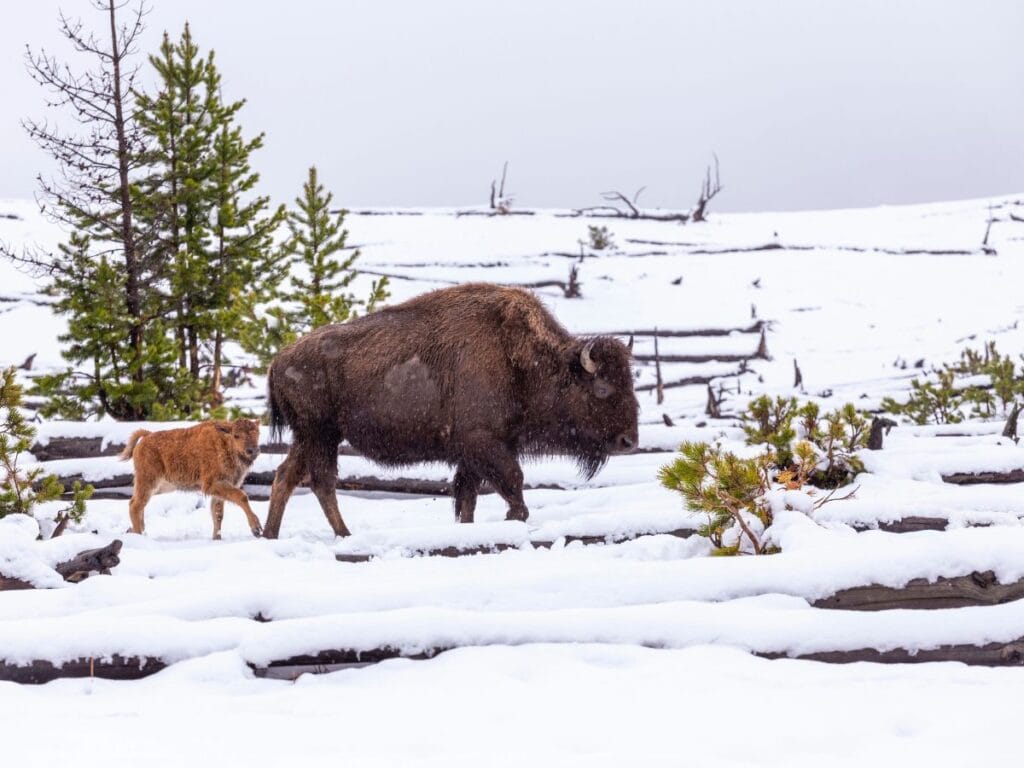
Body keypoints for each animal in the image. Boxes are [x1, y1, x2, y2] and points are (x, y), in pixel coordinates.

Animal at [119, 419, 262, 539]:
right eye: (236, 435)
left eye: (257, 433)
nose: (252, 451)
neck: (224, 443)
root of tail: (146, 436)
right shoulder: (211, 485)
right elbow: (241, 496)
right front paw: (256, 529)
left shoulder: (221, 489)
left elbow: (218, 514)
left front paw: (216, 538)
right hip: (148, 481)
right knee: (135, 505)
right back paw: (138, 535)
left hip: (161, 486)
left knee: (138, 504)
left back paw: (137, 531)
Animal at [262, 282, 639, 538]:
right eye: (602, 388)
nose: (629, 441)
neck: (522, 361)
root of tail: (279, 360)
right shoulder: (483, 443)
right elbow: (512, 482)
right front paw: (512, 518)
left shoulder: (475, 453)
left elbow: (468, 497)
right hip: (320, 433)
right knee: (321, 481)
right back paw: (343, 535)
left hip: (310, 436)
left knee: (286, 476)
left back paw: (271, 535)